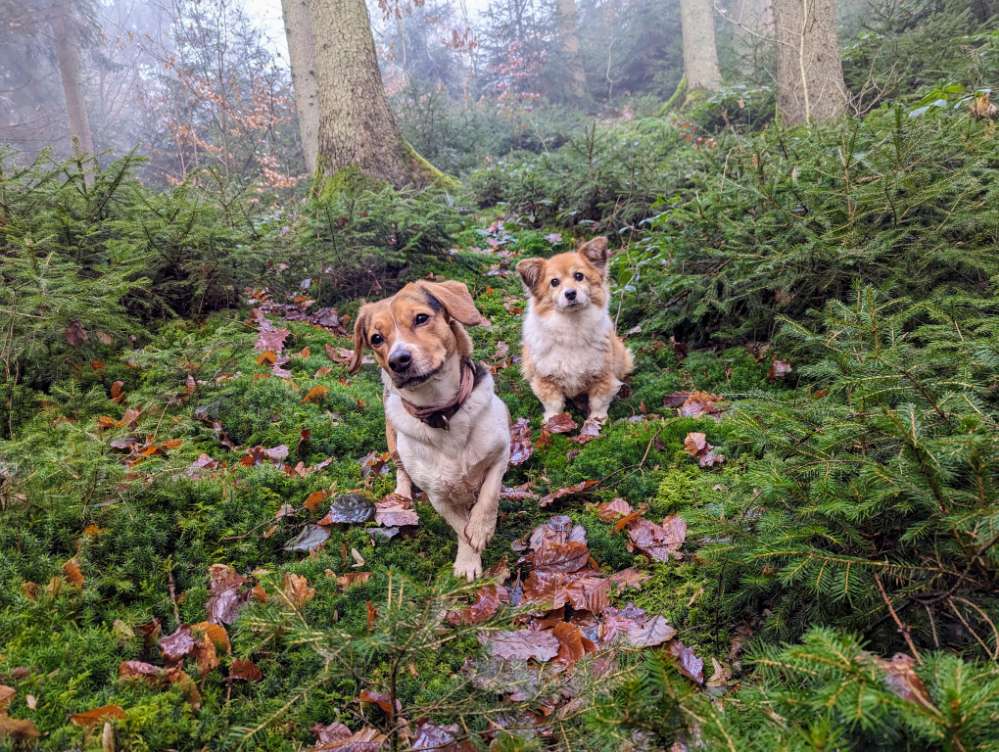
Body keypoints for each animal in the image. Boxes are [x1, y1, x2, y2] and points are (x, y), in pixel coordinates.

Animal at [350, 280, 508, 580]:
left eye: (421, 318)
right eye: (376, 338)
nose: (398, 360)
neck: (442, 413)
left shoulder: (501, 453)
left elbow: (489, 496)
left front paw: (481, 528)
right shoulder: (437, 495)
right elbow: (459, 526)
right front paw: (468, 560)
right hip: (393, 443)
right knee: (401, 470)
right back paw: (401, 495)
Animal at [516, 235, 632, 424]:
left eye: (579, 276)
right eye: (554, 282)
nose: (570, 293)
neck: (572, 327)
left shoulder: (603, 376)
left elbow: (599, 401)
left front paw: (597, 420)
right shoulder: (546, 380)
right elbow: (554, 404)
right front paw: (553, 422)